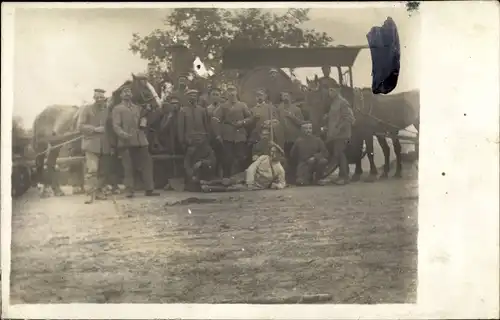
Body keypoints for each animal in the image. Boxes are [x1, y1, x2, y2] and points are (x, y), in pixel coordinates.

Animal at [31, 74, 162, 198]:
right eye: (145, 90)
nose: (158, 105)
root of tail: (40, 114)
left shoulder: (113, 147)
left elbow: (111, 166)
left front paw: (111, 188)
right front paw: (107, 189)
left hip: (56, 145)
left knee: (50, 164)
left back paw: (56, 190)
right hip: (43, 146)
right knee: (43, 163)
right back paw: (47, 190)